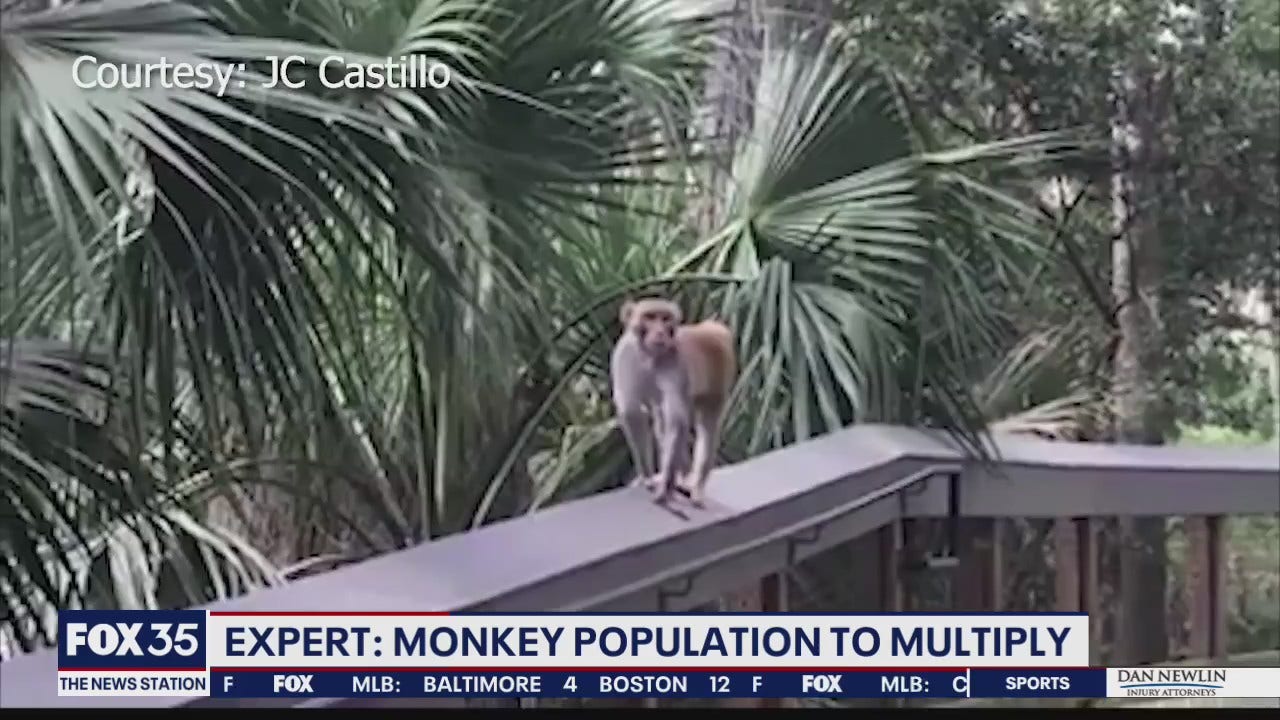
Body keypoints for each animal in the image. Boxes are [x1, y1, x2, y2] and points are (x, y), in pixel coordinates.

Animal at [610, 297, 736, 508]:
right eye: (650, 317)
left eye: (665, 318)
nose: (660, 331)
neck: (649, 356)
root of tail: (711, 328)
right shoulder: (624, 354)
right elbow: (631, 411)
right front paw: (646, 478)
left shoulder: (675, 361)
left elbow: (677, 420)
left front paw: (664, 490)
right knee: (661, 419)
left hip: (719, 374)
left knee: (708, 427)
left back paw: (696, 485)